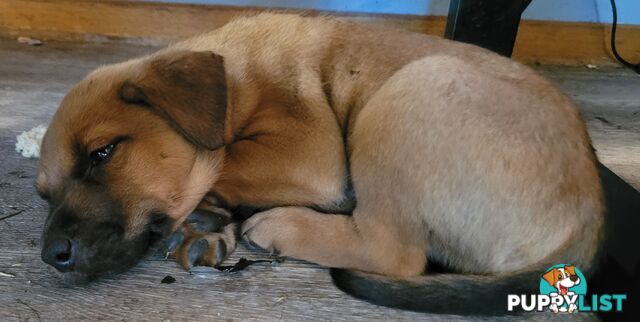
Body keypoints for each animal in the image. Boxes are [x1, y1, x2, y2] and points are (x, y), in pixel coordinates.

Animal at [37, 13, 604, 314]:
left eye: (103, 153)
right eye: (44, 195)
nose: (51, 256)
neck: (239, 82)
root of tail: (589, 218)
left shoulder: (309, 151)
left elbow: (221, 161)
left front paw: (207, 214)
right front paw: (207, 225)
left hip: (410, 91)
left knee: (392, 250)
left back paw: (277, 225)